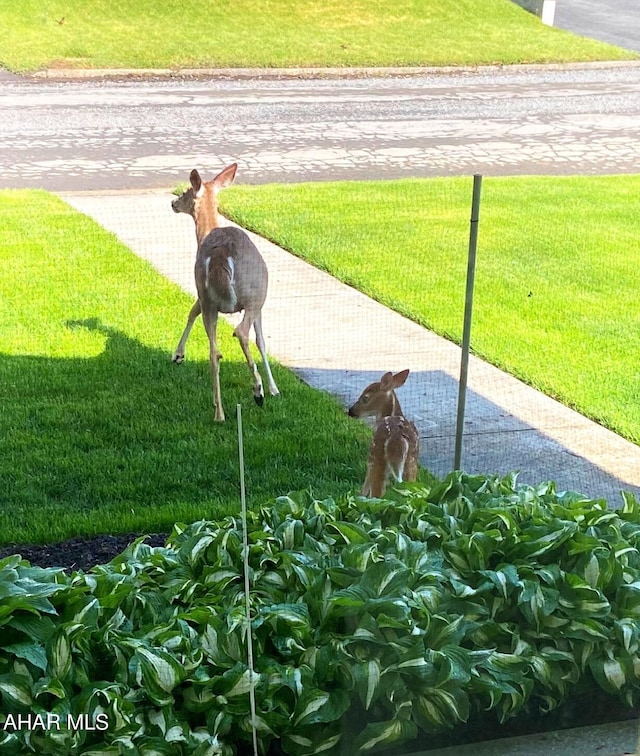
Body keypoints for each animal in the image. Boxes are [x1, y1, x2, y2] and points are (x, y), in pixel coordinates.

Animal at [171, 164, 278, 420]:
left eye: (185, 191)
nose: (173, 203)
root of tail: (220, 253)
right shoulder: (258, 303)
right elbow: (262, 341)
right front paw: (273, 388)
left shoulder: (202, 294)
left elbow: (191, 311)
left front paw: (178, 355)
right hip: (253, 293)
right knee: (240, 332)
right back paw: (257, 391)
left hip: (209, 296)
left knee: (213, 353)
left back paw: (219, 412)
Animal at [350, 370, 420, 500]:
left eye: (365, 398)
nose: (351, 411)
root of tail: (397, 439)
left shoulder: (370, 460)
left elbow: (365, 487)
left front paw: (359, 496)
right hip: (412, 463)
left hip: (377, 458)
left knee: (377, 495)